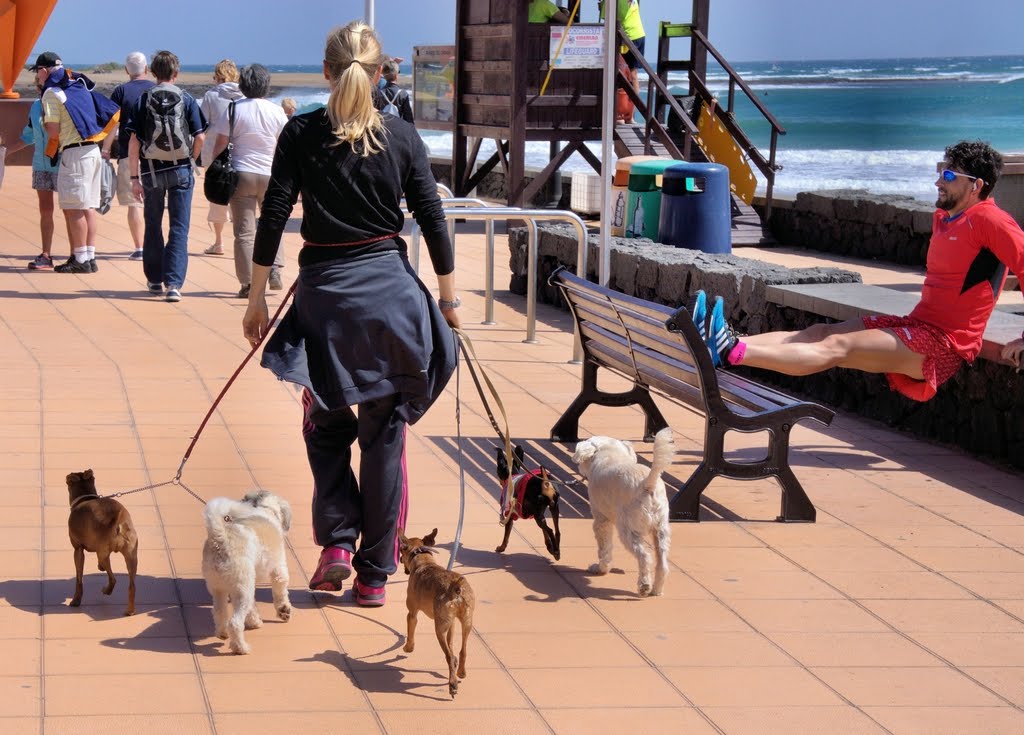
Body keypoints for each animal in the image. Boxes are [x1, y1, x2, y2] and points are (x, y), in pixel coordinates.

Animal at [66, 472, 138, 614]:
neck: (85, 498)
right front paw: (100, 567)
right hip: (132, 556)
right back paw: (130, 611)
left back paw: (107, 590)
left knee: (113, 578)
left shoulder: (78, 549)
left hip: (103, 553)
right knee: (132, 586)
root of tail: (118, 521)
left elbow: (79, 579)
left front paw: (76, 600)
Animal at [201, 489, 292, 655]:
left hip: (219, 587)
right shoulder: (279, 569)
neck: (265, 509)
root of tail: (220, 538)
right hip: (242, 589)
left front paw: (254, 621)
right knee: (235, 622)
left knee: (219, 612)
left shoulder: (250, 582)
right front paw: (284, 610)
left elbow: (253, 606)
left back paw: (222, 633)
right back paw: (240, 647)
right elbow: (281, 591)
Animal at [399, 532, 479, 700]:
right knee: (462, 650)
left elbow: (410, 633)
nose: (401, 560)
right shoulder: (452, 624)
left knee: (448, 656)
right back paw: (460, 673)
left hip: (439, 628)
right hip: (466, 622)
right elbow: (452, 646)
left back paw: (452, 685)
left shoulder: (412, 614)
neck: (424, 561)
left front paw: (408, 648)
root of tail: (455, 587)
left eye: (402, 551)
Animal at [573, 429, 675, 597]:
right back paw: (656, 590)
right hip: (661, 529)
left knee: (644, 557)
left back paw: (644, 585)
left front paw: (601, 568)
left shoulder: (601, 520)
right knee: (662, 562)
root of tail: (647, 484)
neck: (609, 453)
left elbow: (604, 548)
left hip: (628, 530)